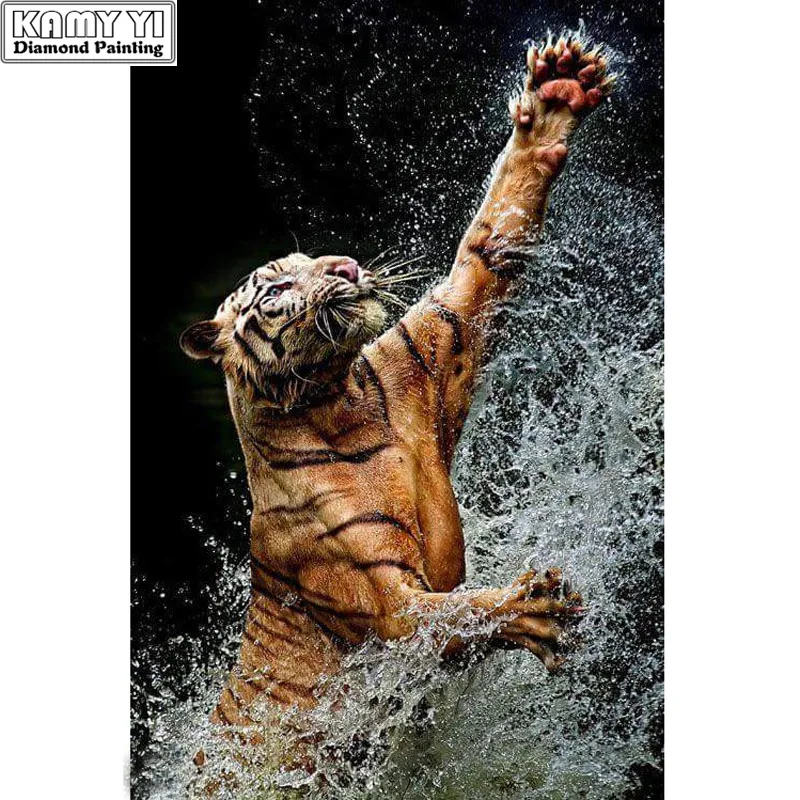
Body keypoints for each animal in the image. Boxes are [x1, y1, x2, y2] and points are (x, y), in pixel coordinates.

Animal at [180, 32, 614, 770]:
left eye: (313, 259)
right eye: (277, 287)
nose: (347, 266)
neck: (339, 402)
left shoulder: (439, 338)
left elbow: (488, 242)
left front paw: (556, 94)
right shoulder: (387, 602)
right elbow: (452, 614)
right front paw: (532, 609)